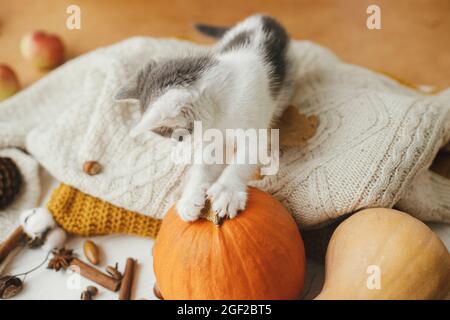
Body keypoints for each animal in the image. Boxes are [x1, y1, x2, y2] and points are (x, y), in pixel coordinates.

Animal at [115, 14, 296, 220]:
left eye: (178, 136)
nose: (178, 144)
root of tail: (262, 16)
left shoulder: (253, 128)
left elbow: (244, 159)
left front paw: (227, 191)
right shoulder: (214, 135)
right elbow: (204, 163)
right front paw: (190, 197)